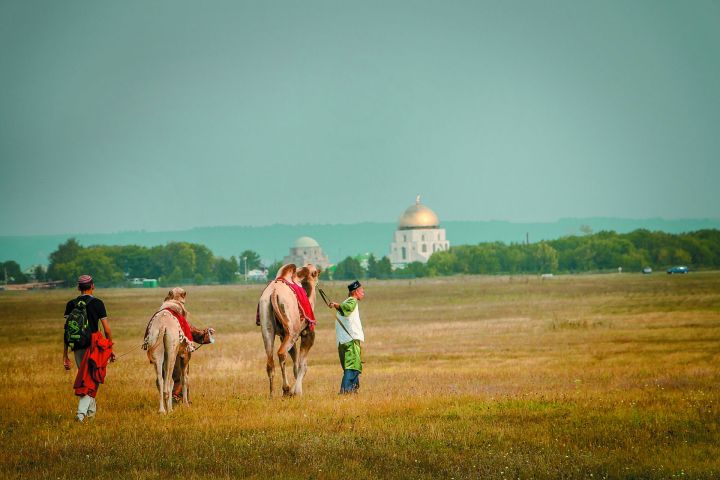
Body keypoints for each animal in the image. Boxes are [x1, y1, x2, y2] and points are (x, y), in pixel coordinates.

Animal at [143, 286, 214, 414]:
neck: (174, 303)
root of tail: (163, 325)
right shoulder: (185, 354)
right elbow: (184, 378)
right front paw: (186, 404)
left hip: (157, 349)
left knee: (160, 380)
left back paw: (162, 410)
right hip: (171, 351)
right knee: (169, 381)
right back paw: (169, 410)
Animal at [256, 264, 318, 396]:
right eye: (316, 272)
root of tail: (274, 293)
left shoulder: (283, 336)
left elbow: (296, 365)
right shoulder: (308, 333)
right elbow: (302, 365)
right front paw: (297, 392)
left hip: (267, 323)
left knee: (270, 360)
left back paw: (272, 394)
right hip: (292, 329)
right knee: (281, 353)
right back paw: (286, 389)